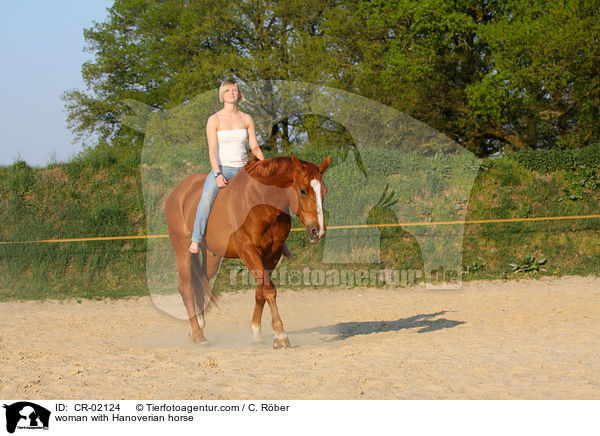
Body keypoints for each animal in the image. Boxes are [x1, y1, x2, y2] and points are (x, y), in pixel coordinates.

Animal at [164, 155, 330, 350]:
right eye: (303, 191)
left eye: (324, 191)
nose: (317, 231)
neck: (262, 203)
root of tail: (177, 192)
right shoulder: (249, 251)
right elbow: (268, 290)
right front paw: (280, 335)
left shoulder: (272, 255)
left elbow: (261, 291)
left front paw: (256, 332)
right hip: (182, 250)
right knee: (187, 288)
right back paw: (198, 335)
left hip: (211, 257)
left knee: (201, 283)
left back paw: (197, 326)